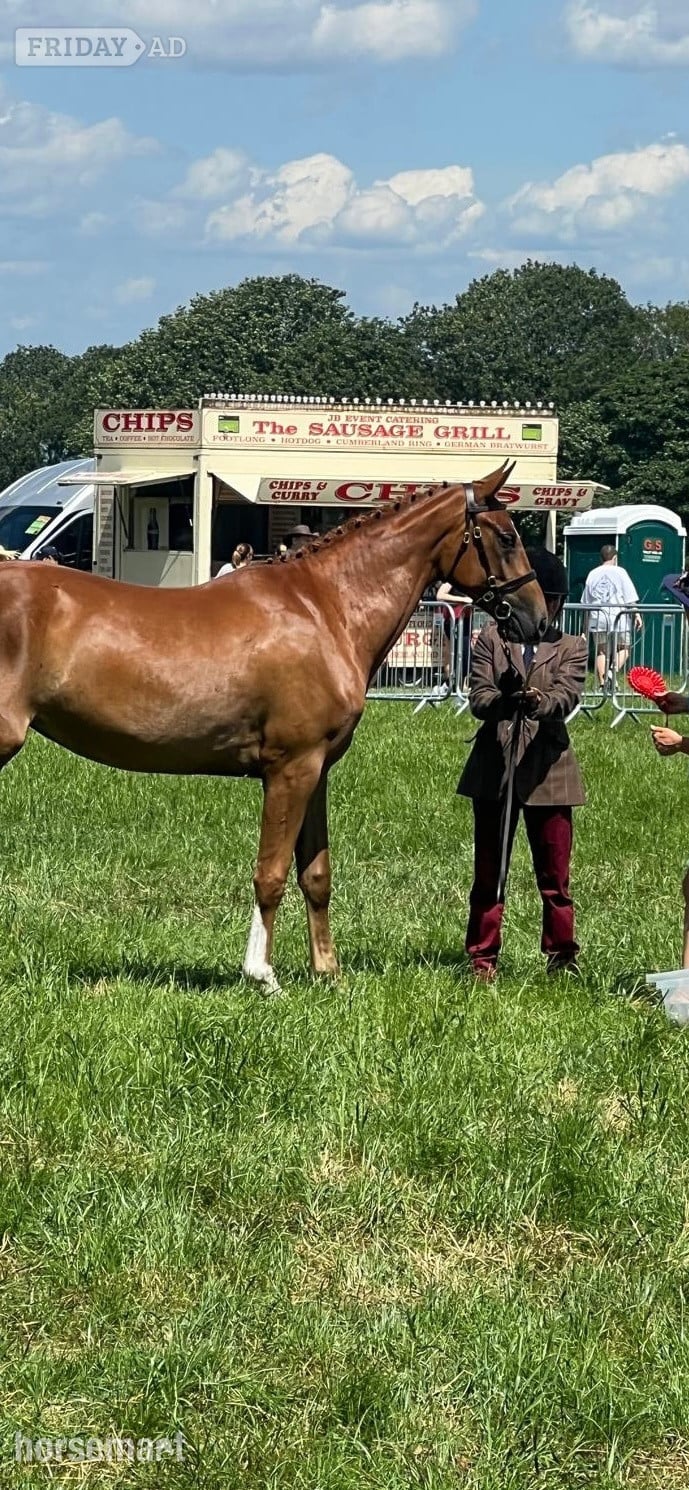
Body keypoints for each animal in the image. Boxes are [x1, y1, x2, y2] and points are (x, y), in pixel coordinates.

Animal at [0, 461, 546, 992]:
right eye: (505, 537)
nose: (539, 620)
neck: (325, 608)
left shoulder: (317, 771)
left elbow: (316, 874)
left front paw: (327, 972)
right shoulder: (291, 768)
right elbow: (272, 872)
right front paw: (262, 975)